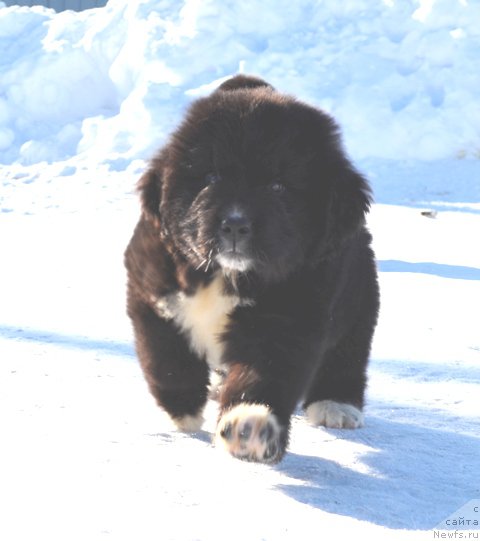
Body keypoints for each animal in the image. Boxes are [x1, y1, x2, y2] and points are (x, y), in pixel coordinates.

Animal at [124, 75, 378, 464]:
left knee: (348, 354)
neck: (225, 275)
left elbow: (262, 377)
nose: (234, 224)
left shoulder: (287, 322)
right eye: (211, 176)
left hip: (358, 298)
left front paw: (250, 425)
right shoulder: (151, 290)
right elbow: (166, 356)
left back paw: (337, 405)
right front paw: (183, 408)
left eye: (278, 186)